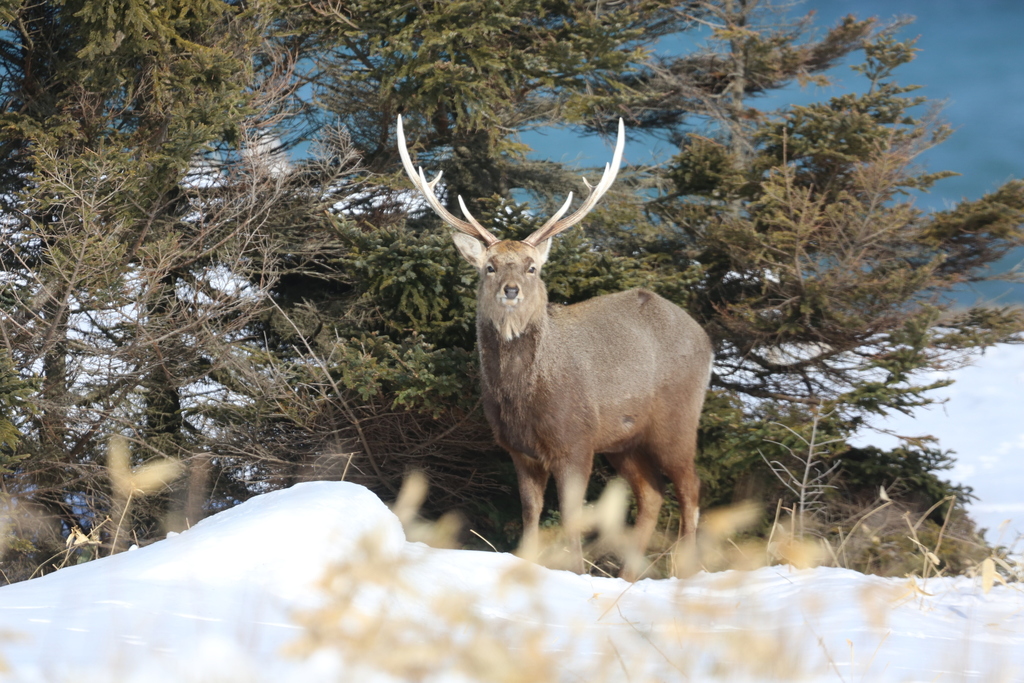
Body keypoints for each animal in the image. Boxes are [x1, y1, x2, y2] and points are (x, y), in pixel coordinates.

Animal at [397, 115, 714, 578]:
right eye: (489, 266)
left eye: (532, 267)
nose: (510, 289)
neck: (523, 397)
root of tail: (706, 339)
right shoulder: (519, 449)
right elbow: (530, 514)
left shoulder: (575, 441)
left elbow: (570, 515)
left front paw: (577, 573)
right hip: (625, 440)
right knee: (652, 494)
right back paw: (629, 575)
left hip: (677, 419)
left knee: (690, 487)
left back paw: (685, 570)